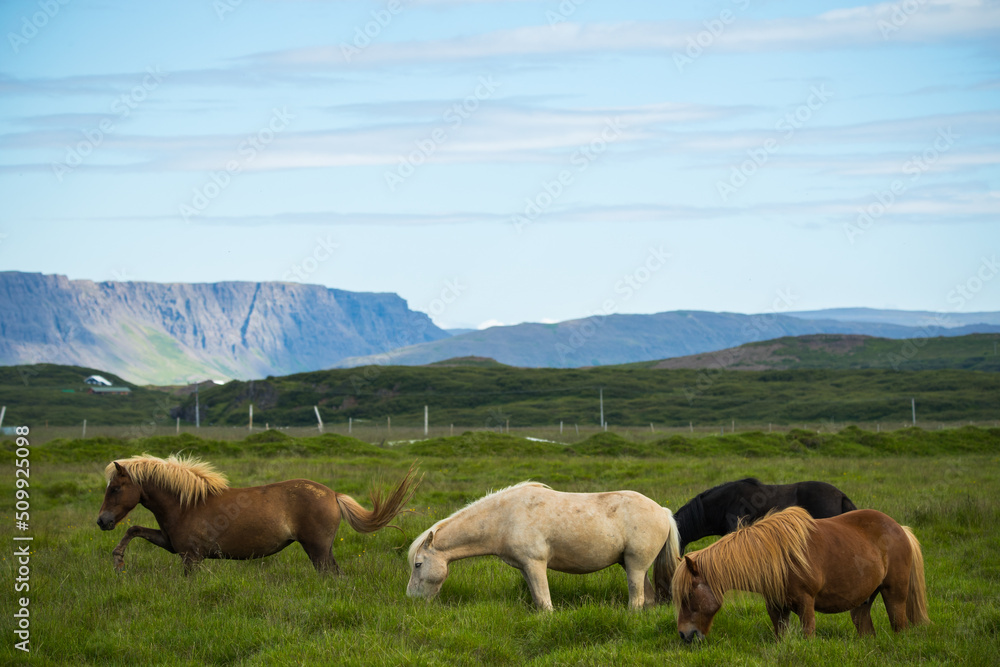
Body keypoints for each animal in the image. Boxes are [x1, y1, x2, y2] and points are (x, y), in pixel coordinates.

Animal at [97, 454, 419, 574]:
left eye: (115, 488)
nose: (102, 521)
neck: (186, 504)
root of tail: (332, 494)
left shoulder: (191, 557)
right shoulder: (172, 544)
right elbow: (134, 530)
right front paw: (118, 560)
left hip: (317, 549)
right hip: (322, 549)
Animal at [406, 481, 681, 611]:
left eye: (418, 564)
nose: (411, 599)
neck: (505, 517)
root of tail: (662, 511)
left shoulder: (536, 564)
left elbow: (545, 601)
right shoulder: (525, 569)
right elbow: (538, 599)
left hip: (635, 566)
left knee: (636, 599)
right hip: (632, 566)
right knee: (647, 599)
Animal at [673, 506, 930, 642]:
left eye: (689, 597)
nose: (684, 635)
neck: (780, 559)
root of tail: (900, 529)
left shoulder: (806, 603)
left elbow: (808, 633)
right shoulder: (776, 607)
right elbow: (781, 635)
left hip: (894, 594)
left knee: (900, 625)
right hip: (863, 600)